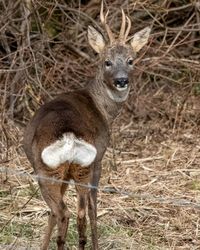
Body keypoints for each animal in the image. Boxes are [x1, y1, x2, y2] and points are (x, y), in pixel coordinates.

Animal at [23, 2, 151, 250]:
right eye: (107, 61)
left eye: (131, 60)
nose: (122, 80)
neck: (101, 106)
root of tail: (69, 137)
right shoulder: (97, 157)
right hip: (78, 167)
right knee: (78, 211)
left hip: (53, 170)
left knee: (66, 212)